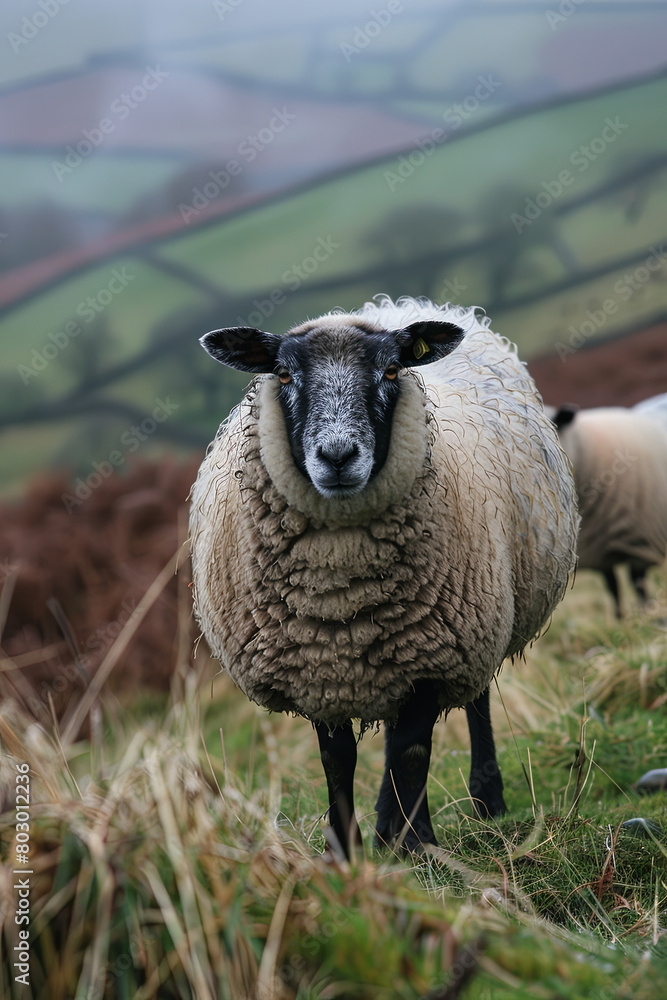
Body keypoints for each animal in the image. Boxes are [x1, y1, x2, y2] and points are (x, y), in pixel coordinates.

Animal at [189, 297, 578, 856]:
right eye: (283, 374)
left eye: (392, 370)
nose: (337, 456)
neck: (340, 589)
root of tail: (404, 307)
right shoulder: (317, 663)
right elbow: (338, 760)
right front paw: (345, 850)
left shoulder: (433, 656)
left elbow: (411, 753)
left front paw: (420, 846)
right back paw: (383, 828)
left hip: (471, 619)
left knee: (472, 705)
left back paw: (482, 803)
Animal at [550, 402, 667, 617]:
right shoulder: (598, 552)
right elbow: (612, 586)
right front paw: (620, 618)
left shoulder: (641, 544)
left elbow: (637, 582)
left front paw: (645, 613)